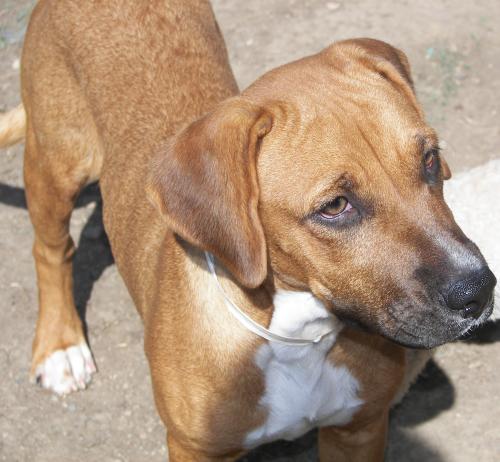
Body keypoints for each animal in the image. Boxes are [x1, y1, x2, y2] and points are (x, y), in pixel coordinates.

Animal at [0, 0, 496, 460]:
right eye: (335, 206)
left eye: (430, 158)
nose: (478, 291)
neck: (299, 335)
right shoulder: (195, 448)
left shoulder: (359, 428)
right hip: (56, 162)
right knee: (51, 249)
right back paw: (60, 345)